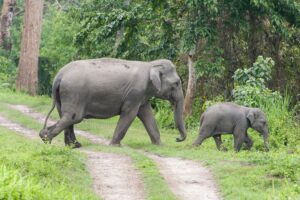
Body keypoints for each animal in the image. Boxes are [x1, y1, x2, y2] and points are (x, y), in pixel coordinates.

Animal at [38, 57, 186, 147]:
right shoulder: (135, 93)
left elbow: (147, 115)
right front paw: (115, 145)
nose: (177, 139)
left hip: (63, 96)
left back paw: (74, 145)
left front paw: (160, 145)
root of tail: (59, 75)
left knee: (66, 117)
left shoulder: (141, 96)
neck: (150, 64)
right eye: (177, 83)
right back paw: (45, 138)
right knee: (72, 117)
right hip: (74, 93)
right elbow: (130, 115)